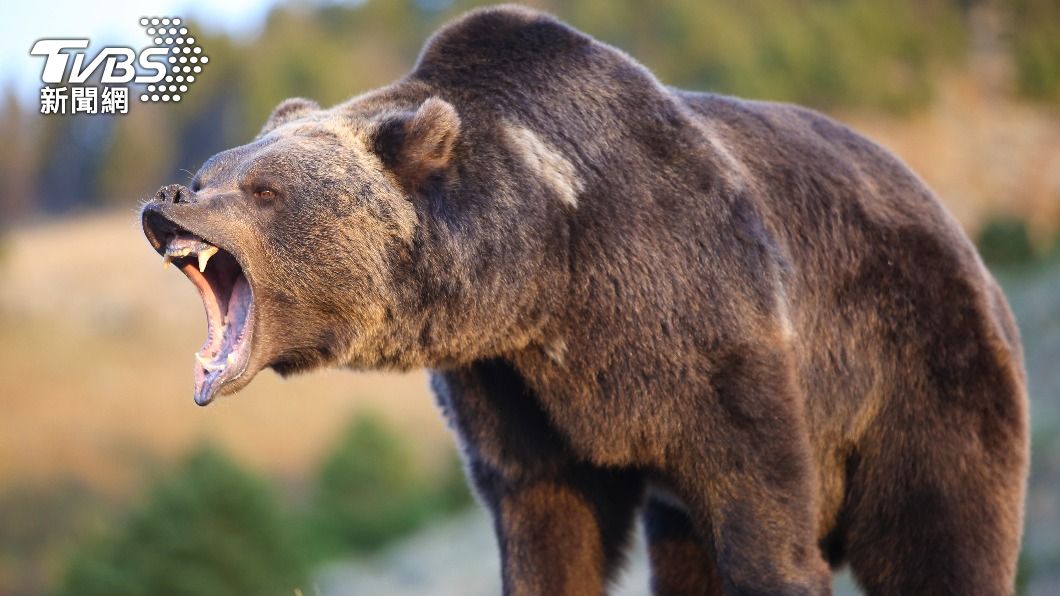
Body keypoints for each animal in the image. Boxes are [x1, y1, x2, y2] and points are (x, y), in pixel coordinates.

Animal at [141, 5, 1029, 595]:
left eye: (263, 190)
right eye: (212, 171)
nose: (169, 199)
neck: (547, 273)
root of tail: (962, 237)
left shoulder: (712, 330)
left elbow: (763, 519)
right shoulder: (513, 395)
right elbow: (547, 529)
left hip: (919, 369)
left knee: (941, 533)